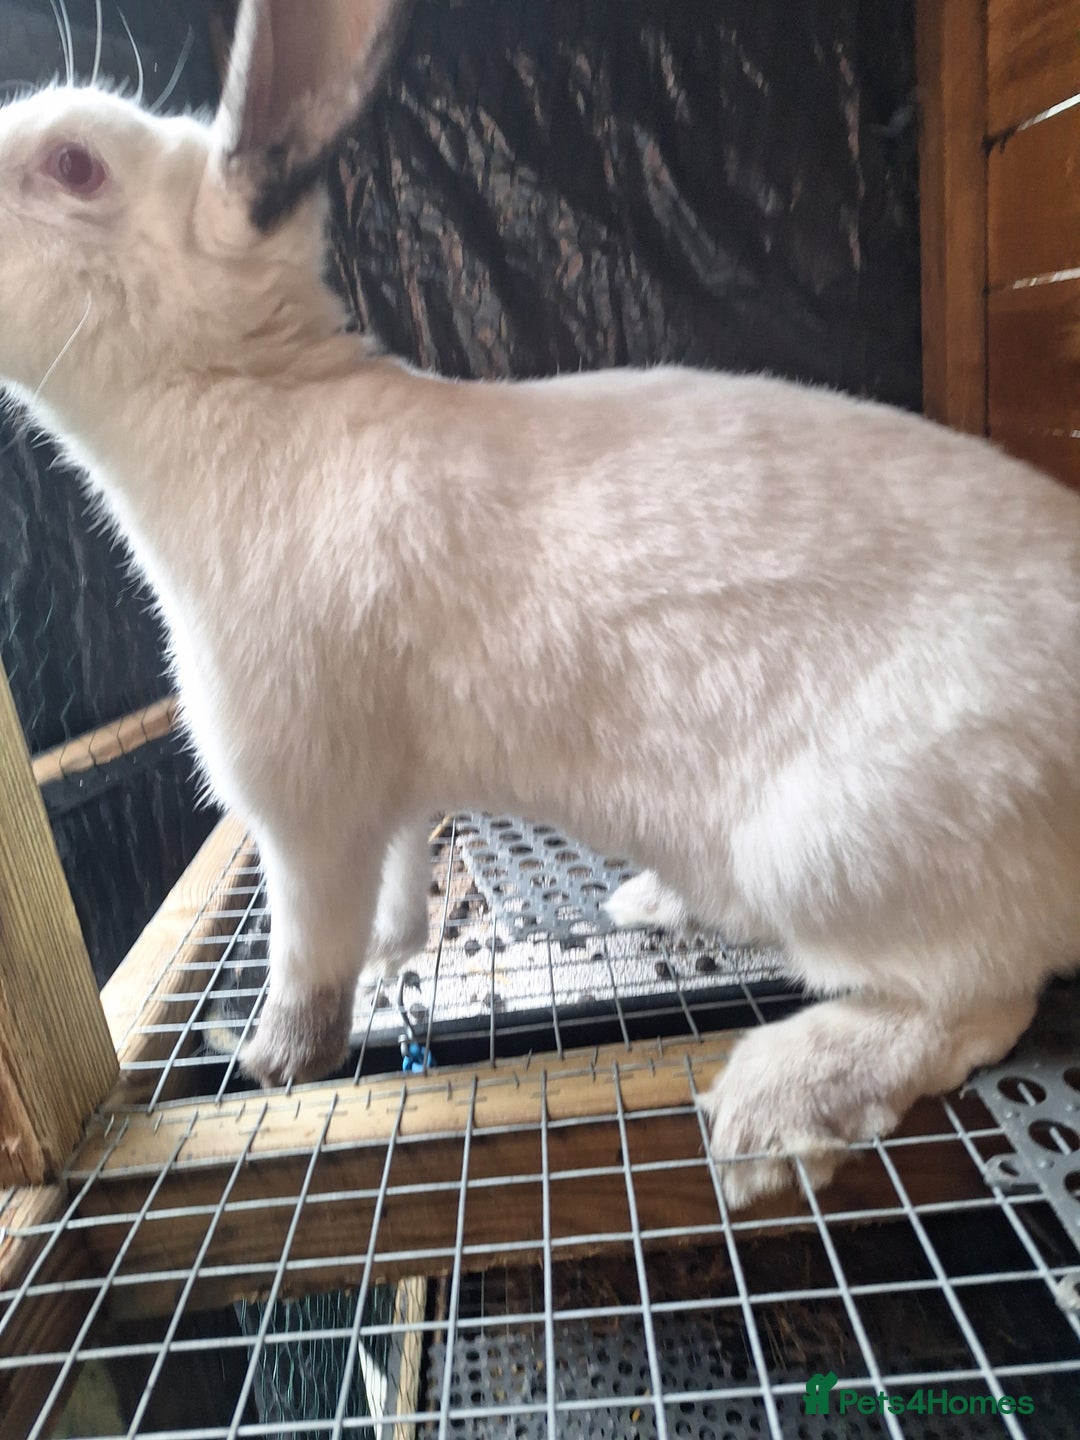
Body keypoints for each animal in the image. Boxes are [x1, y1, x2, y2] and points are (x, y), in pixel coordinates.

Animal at [1, 0, 1078, 1210]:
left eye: (73, 164)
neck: (249, 393)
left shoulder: (299, 800)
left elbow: (309, 951)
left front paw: (272, 1061)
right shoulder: (387, 797)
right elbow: (391, 900)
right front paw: (393, 957)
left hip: (837, 849)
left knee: (979, 1000)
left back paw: (772, 1107)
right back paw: (654, 908)